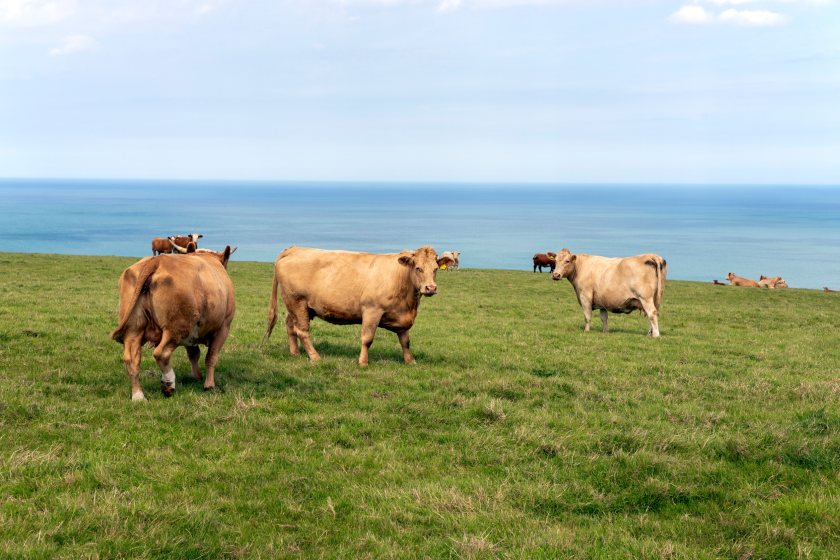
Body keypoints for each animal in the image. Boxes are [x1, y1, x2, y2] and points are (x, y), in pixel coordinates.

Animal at [111, 244, 236, 400]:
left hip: (134, 328)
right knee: (161, 353)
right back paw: (168, 383)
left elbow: (194, 354)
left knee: (131, 359)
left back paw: (138, 395)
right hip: (176, 329)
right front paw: (209, 385)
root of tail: (157, 260)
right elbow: (211, 357)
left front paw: (197, 376)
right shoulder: (223, 327)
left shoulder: (192, 334)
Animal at [262, 246, 440, 366]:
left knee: (290, 325)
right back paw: (315, 357)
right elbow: (367, 338)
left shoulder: (402, 316)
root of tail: (295, 249)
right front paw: (363, 362)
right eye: (418, 268)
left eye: (436, 269)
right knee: (302, 331)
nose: (430, 288)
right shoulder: (372, 310)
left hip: (297, 306)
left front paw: (410, 361)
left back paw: (295, 353)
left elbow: (405, 341)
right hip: (297, 301)